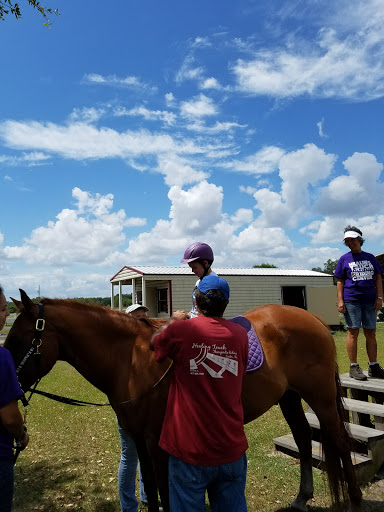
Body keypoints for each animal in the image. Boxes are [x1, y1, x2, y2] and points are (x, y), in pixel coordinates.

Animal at [4, 290, 362, 512]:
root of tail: (315, 320)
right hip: (289, 398)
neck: (131, 358)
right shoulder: (139, 439)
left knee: (340, 441)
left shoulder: (157, 442)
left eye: (20, 338)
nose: (7, 387)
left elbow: (163, 489)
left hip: (321, 399)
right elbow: (150, 487)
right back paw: (302, 498)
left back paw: (355, 498)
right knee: (303, 438)